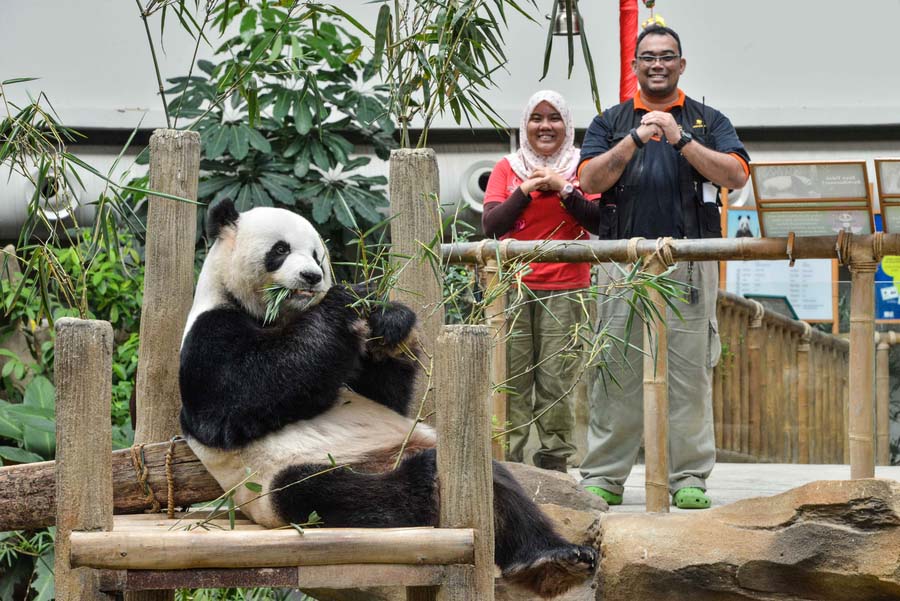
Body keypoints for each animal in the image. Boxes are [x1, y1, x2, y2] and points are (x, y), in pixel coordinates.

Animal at [178, 199, 597, 598]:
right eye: (280, 250)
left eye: (316, 255)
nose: (312, 277)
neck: (280, 315)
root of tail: (385, 460)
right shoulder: (210, 332)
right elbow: (238, 393)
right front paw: (346, 300)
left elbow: (383, 393)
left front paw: (391, 320)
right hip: (276, 484)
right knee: (330, 492)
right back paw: (422, 482)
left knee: (499, 484)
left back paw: (553, 560)